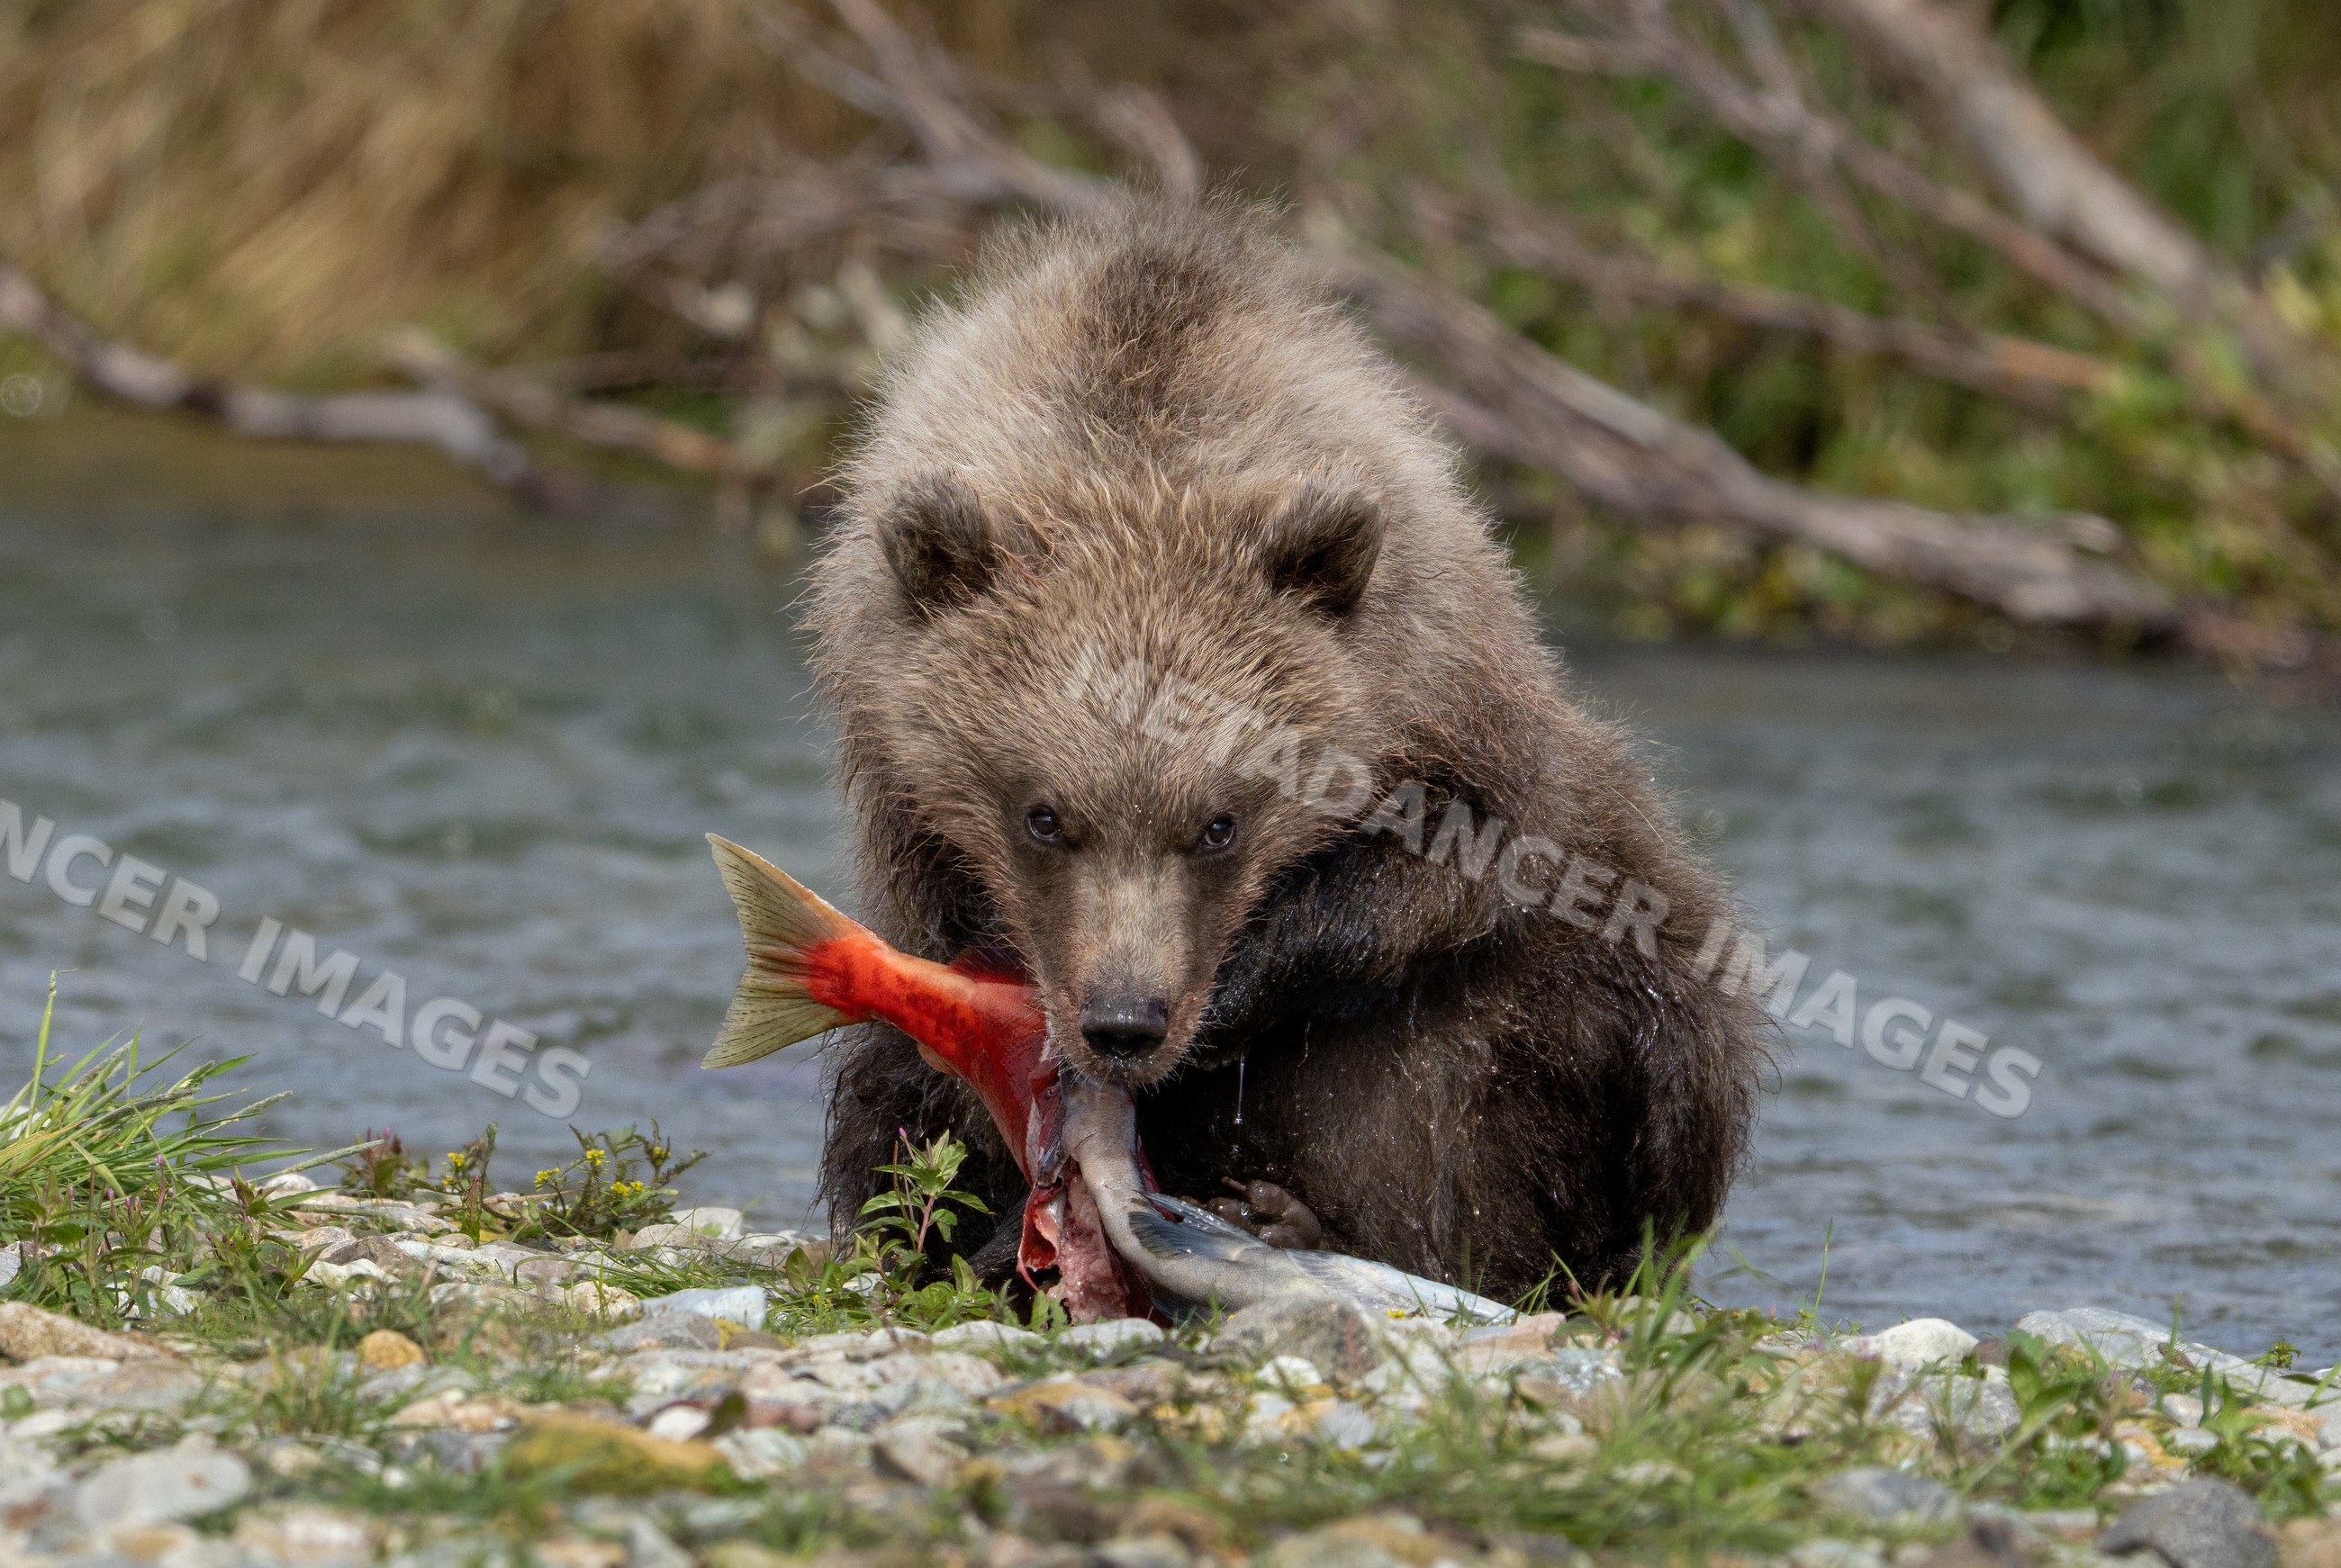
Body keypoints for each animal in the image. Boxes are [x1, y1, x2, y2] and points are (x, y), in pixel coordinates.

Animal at [802, 194, 1768, 1300]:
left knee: (1640, 1030)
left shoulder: (1444, 691)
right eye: (1042, 815)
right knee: (885, 1093)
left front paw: (1235, 996)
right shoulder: (890, 753)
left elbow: (1462, 871)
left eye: (1220, 822)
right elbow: (934, 1005)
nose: (1125, 1021)